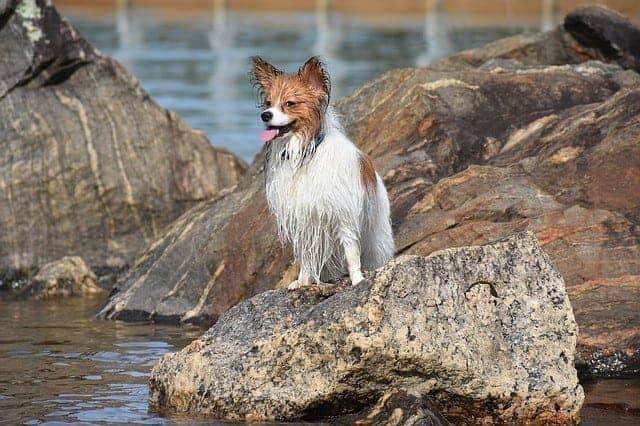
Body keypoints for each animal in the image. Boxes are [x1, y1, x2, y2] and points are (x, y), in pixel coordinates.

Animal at [251, 55, 396, 290]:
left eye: (289, 104)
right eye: (268, 104)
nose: (265, 115)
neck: (304, 151)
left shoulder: (343, 214)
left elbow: (351, 252)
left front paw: (357, 280)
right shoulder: (304, 221)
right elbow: (306, 257)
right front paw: (302, 282)